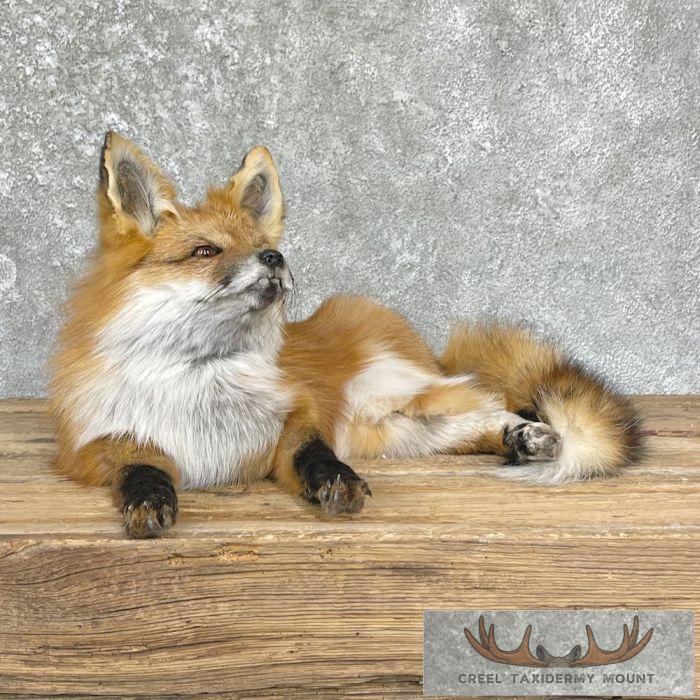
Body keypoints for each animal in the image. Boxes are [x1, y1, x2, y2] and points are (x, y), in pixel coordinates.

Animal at [49, 131, 643, 538]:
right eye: (205, 251)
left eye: (263, 244)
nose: (275, 257)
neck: (204, 385)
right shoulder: (96, 444)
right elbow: (142, 467)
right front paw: (148, 499)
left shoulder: (295, 418)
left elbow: (315, 453)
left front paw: (335, 480)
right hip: (395, 433)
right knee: (470, 423)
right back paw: (519, 440)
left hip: (395, 395)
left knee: (489, 399)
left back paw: (531, 435)